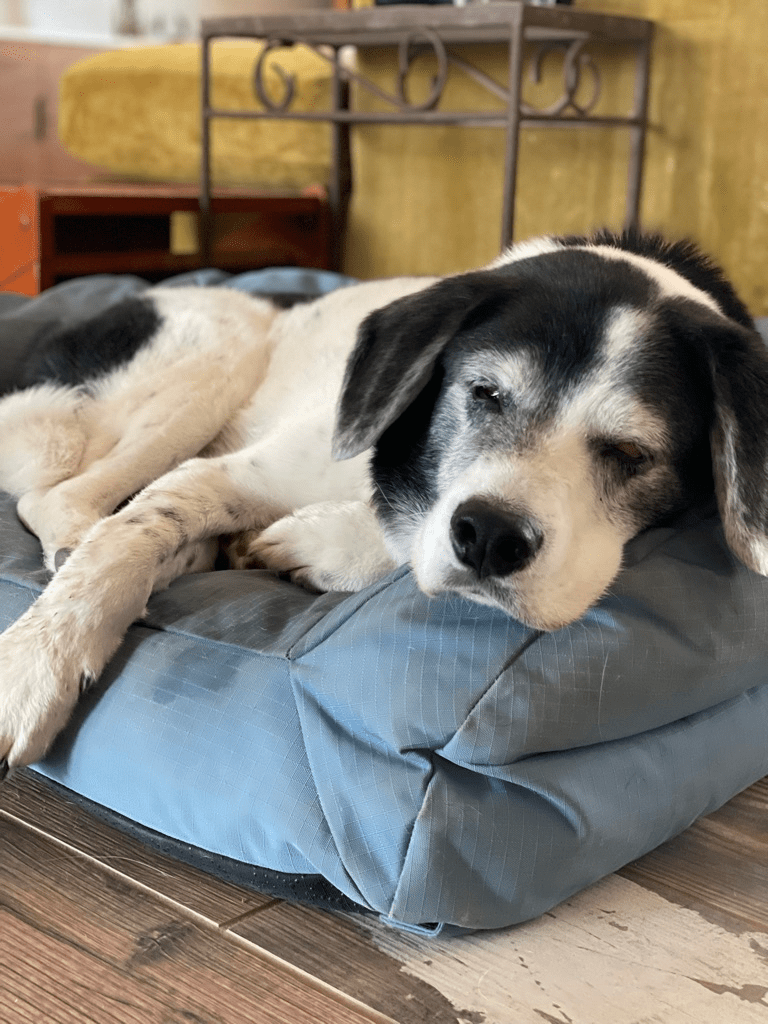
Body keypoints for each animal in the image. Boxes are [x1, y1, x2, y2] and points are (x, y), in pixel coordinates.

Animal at [0, 228, 767, 773]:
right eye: (484, 392)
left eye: (631, 453)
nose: (490, 537)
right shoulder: (228, 474)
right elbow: (126, 538)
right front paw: (35, 665)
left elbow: (394, 544)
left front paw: (303, 545)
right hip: (212, 360)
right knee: (57, 498)